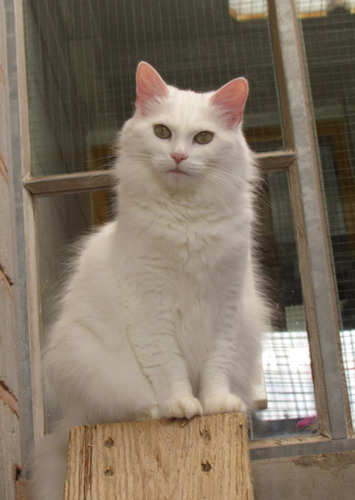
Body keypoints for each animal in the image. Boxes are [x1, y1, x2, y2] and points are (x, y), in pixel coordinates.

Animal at [32, 62, 268, 500]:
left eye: (203, 138)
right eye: (162, 131)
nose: (177, 156)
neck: (186, 222)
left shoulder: (225, 308)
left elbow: (216, 365)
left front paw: (216, 403)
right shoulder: (150, 308)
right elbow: (168, 367)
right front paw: (182, 405)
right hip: (87, 363)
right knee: (128, 407)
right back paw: (159, 409)